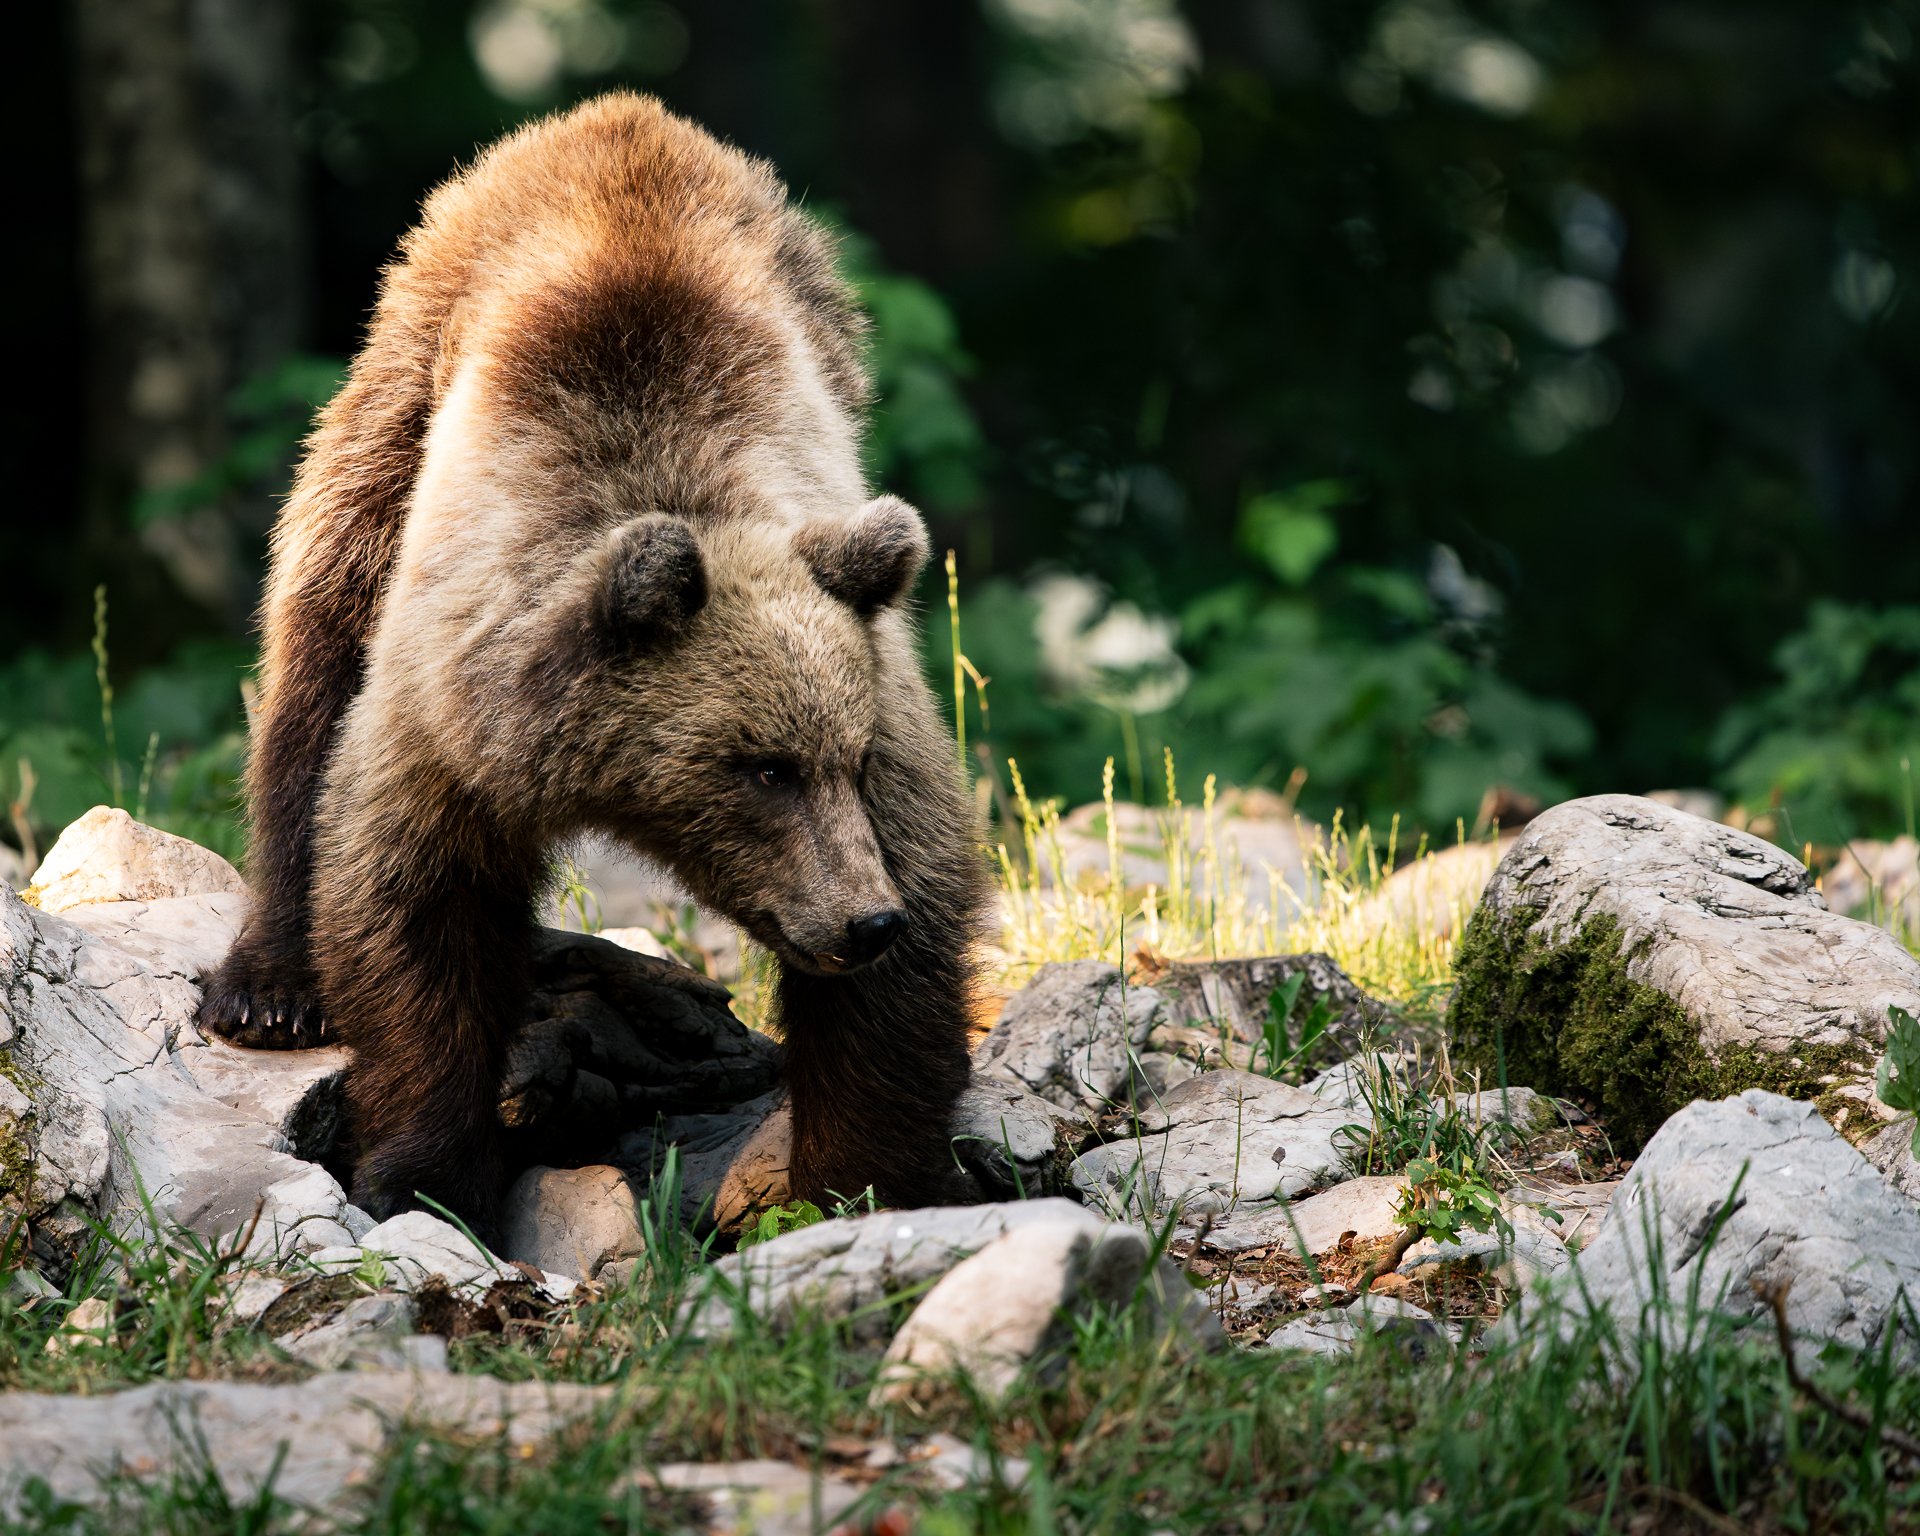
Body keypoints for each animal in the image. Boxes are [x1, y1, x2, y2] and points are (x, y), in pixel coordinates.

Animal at [195, 92, 989, 1228]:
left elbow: (917, 901)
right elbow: (416, 901)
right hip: (397, 390)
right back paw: (270, 987)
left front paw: (868, 1180)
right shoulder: (447, 702)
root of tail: (614, 117)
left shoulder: (872, 682)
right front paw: (425, 1174)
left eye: (848, 756)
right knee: (315, 657)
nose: (862, 919)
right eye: (764, 769)